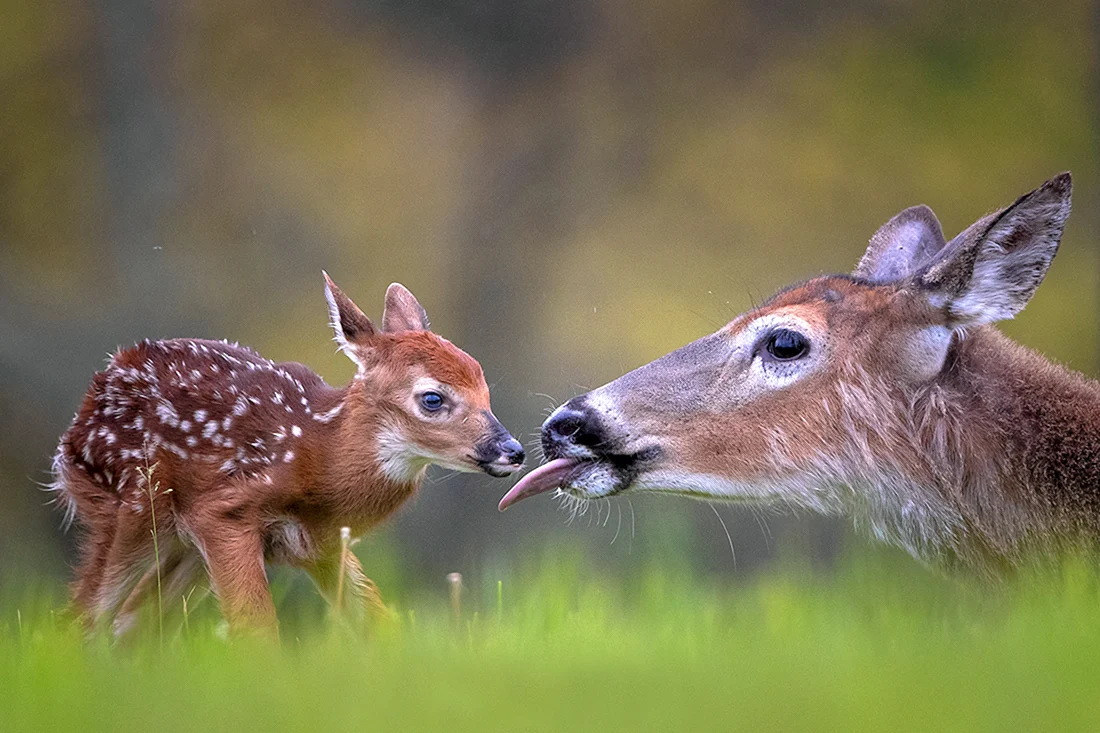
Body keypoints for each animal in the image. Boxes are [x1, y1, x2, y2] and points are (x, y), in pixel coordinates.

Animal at [51, 273, 525, 636]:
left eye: (484, 388)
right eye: (432, 398)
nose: (513, 450)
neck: (320, 458)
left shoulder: (324, 545)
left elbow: (379, 621)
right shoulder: (223, 512)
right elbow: (256, 630)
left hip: (180, 550)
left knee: (128, 621)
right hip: (130, 504)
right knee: (84, 616)